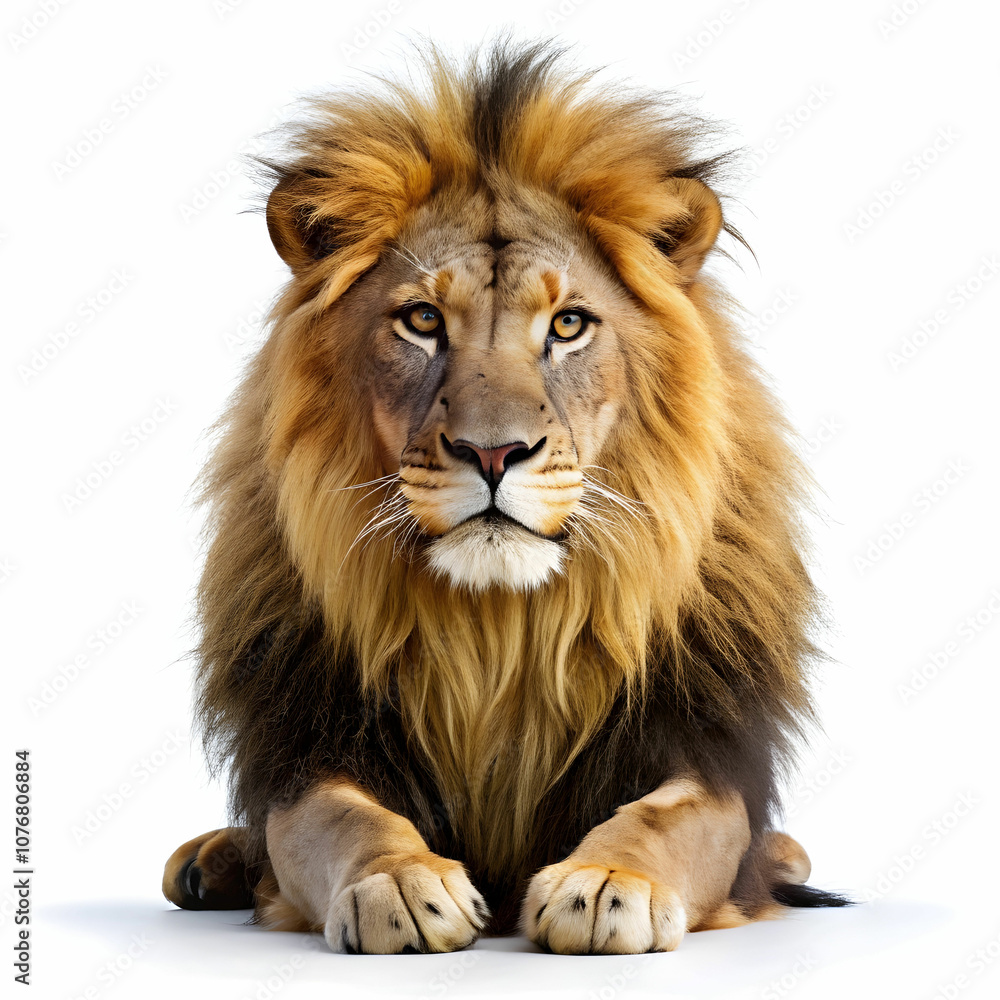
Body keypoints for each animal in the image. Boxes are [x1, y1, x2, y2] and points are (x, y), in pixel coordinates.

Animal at [161, 41, 847, 954]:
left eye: (567, 325)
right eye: (421, 321)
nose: (494, 452)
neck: (500, 630)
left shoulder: (702, 742)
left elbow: (667, 818)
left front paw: (608, 881)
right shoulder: (312, 740)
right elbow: (338, 818)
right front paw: (400, 881)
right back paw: (207, 863)